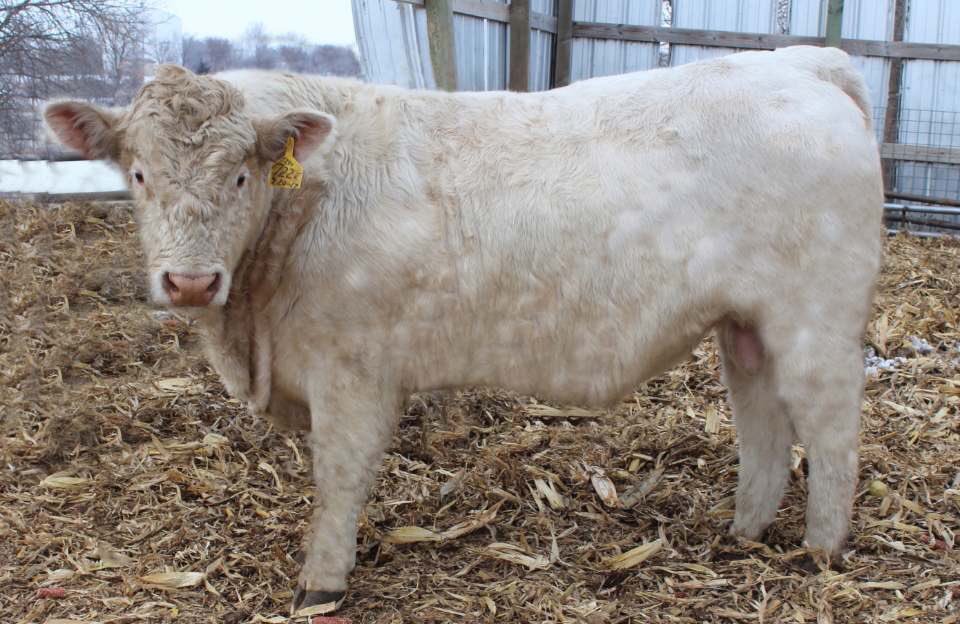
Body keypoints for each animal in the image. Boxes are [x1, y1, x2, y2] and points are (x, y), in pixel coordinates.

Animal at [45, 45, 883, 614]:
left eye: (242, 174)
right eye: (139, 173)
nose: (189, 282)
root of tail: (799, 64)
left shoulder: (353, 370)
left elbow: (339, 476)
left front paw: (321, 583)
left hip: (815, 322)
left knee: (832, 431)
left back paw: (819, 551)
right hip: (746, 326)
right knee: (764, 425)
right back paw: (742, 534)